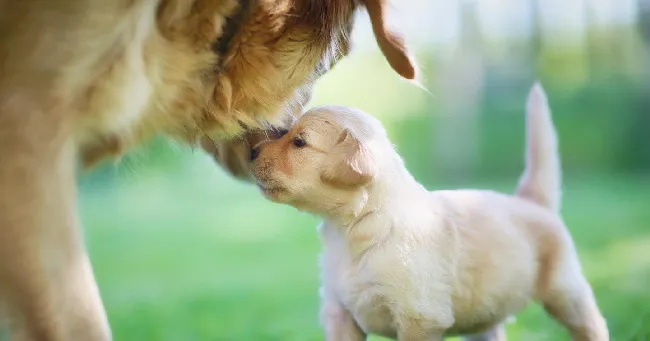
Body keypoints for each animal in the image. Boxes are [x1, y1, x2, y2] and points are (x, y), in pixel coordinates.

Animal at [249, 83, 608, 340]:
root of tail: (531, 201)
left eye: (300, 143)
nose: (251, 151)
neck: (352, 228)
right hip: (485, 318)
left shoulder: (419, 318)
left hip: (565, 291)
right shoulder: (340, 314)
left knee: (594, 325)